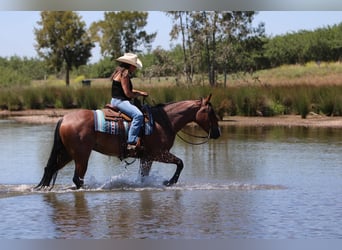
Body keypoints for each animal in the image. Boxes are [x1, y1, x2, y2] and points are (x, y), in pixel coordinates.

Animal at [36, 94, 220, 189]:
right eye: (211, 112)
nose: (217, 133)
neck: (163, 121)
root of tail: (64, 118)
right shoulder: (158, 153)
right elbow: (180, 163)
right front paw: (169, 182)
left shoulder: (147, 158)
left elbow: (143, 177)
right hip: (81, 155)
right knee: (77, 178)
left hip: (67, 153)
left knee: (50, 169)